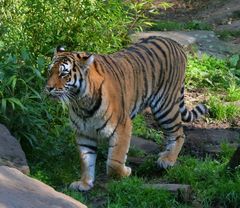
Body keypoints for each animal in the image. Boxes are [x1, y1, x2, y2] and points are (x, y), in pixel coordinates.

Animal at [46, 36, 207, 192]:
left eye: (63, 73)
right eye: (50, 71)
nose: (48, 88)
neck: (81, 102)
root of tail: (175, 43)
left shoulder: (122, 126)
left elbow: (114, 162)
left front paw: (125, 172)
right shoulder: (84, 133)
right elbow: (86, 160)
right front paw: (85, 183)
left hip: (165, 106)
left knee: (179, 134)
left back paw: (168, 160)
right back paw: (165, 154)